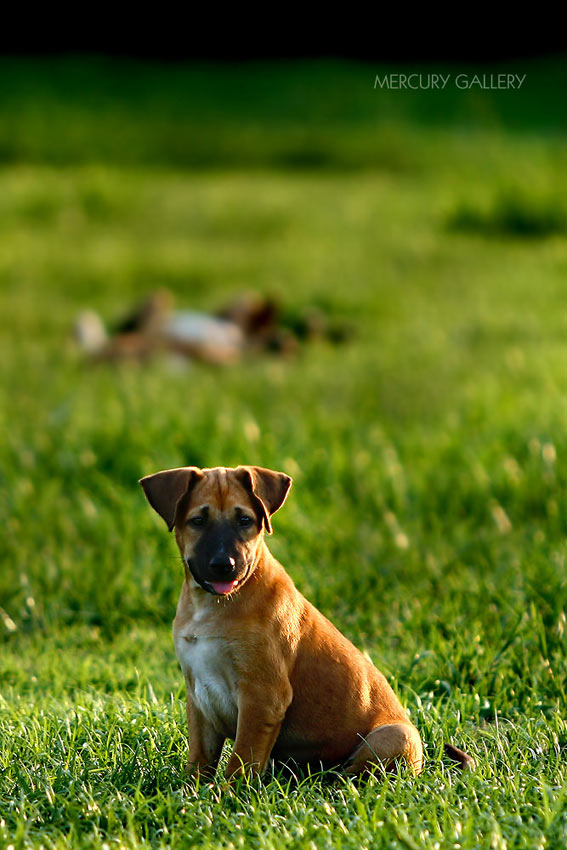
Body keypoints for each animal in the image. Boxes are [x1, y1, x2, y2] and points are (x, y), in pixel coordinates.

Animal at [139, 468, 470, 780]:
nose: (224, 565)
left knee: (352, 774)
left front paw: (227, 794)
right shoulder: (199, 696)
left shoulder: (263, 695)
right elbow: (201, 757)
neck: (213, 605)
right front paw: (192, 791)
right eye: (198, 521)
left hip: (394, 736)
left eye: (245, 520)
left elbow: (242, 759)